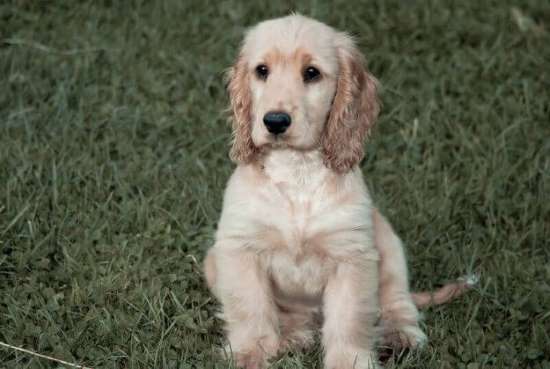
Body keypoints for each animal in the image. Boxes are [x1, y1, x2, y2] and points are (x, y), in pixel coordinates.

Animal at [203, 14, 474, 368]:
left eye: (311, 73)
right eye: (262, 70)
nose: (275, 121)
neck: (297, 171)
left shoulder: (352, 254)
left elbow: (349, 318)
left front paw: (350, 361)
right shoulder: (240, 248)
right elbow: (250, 308)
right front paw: (250, 352)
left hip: (389, 245)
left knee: (397, 301)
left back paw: (399, 336)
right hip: (213, 263)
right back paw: (293, 336)